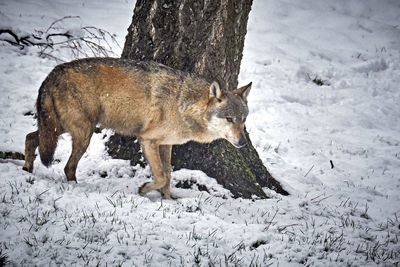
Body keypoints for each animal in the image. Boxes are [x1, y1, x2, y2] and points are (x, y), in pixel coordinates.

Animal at [22, 58, 250, 200]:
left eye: (243, 120)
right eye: (229, 119)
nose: (243, 143)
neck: (182, 104)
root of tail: (52, 73)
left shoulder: (166, 145)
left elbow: (168, 176)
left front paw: (168, 200)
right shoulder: (147, 141)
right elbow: (161, 176)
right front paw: (144, 190)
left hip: (57, 128)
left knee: (30, 137)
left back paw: (26, 170)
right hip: (82, 134)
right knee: (68, 166)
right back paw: (74, 188)